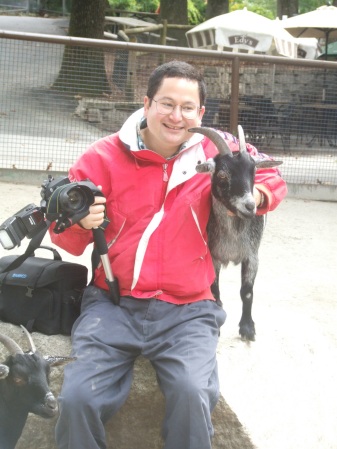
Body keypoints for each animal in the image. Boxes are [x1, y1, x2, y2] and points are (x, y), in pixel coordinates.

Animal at [189, 125, 280, 340]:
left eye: (254, 173)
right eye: (222, 175)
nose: (250, 206)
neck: (233, 236)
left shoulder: (252, 256)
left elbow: (246, 292)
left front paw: (247, 328)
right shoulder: (213, 256)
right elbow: (214, 289)